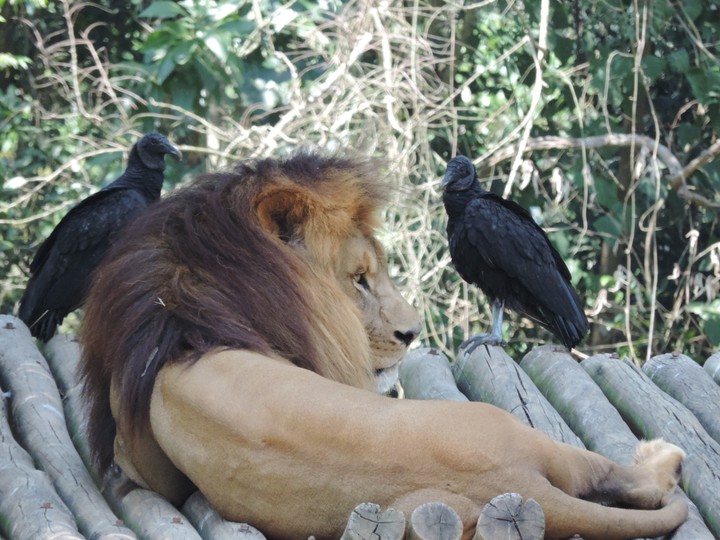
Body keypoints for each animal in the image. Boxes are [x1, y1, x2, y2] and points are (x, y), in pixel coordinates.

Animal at [80, 151, 688, 540]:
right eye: (359, 280)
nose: (412, 333)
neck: (184, 315)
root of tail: (514, 486)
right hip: (517, 431)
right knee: (627, 478)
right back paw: (661, 455)